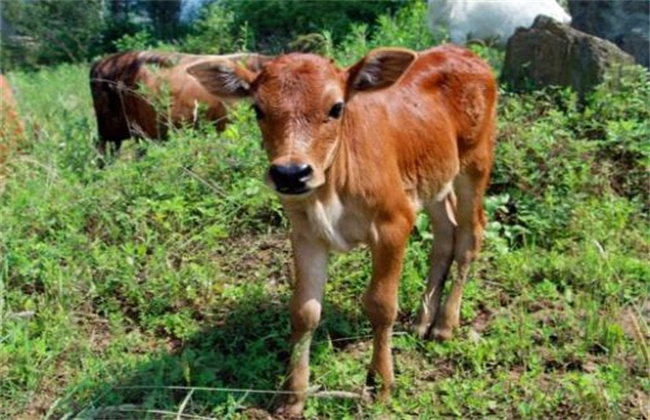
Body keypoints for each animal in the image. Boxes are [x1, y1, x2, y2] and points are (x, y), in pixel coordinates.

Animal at [187, 45, 496, 414]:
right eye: (257, 109)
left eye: (336, 107)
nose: (291, 173)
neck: (330, 190)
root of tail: (464, 52)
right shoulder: (305, 234)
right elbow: (303, 312)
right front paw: (294, 395)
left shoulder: (394, 223)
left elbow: (380, 305)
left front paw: (381, 384)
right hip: (433, 178)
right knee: (445, 232)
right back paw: (423, 319)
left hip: (476, 162)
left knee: (470, 234)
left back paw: (445, 324)